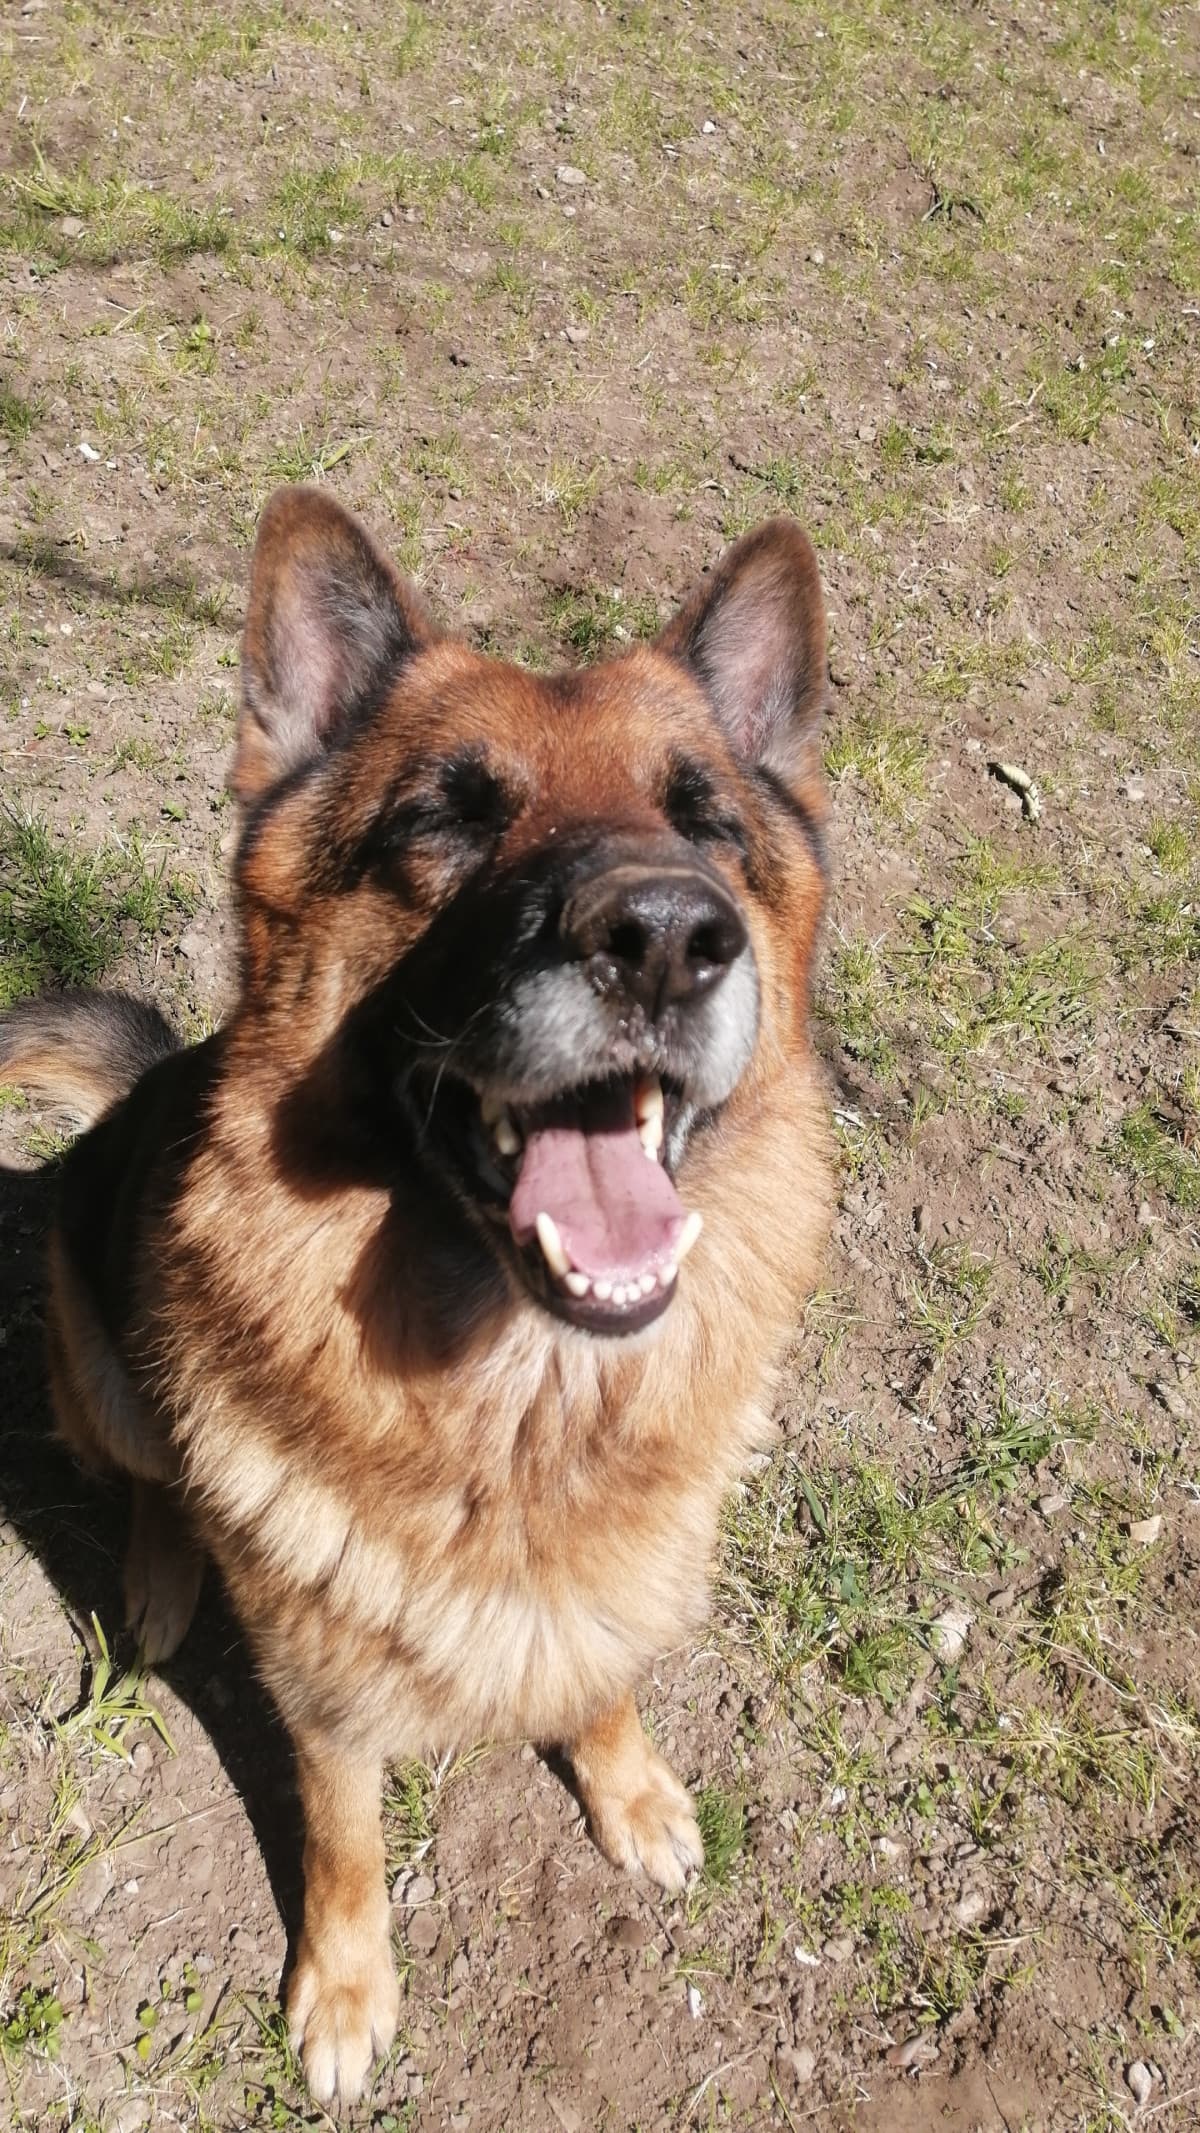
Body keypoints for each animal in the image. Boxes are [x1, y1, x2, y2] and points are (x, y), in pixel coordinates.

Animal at [0, 490, 831, 2107]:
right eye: (448, 817)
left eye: (704, 818)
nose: (667, 936)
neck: (520, 1412)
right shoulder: (322, 1703)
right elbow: (342, 1841)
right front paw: (343, 1990)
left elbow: (606, 1672)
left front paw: (627, 1785)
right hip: (101, 1364)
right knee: (152, 1483)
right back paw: (159, 1578)